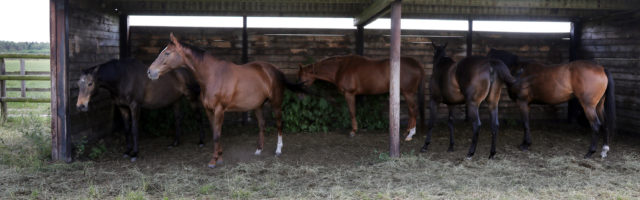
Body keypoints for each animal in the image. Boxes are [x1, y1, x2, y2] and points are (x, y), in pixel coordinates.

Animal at [75, 57, 206, 161]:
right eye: (79, 84)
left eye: (90, 83)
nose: (81, 106)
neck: (122, 78)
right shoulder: (122, 107)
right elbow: (126, 128)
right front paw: (127, 151)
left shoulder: (134, 106)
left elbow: (134, 129)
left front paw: (135, 153)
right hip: (176, 100)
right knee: (178, 118)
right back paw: (175, 143)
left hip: (191, 97)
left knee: (198, 116)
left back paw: (201, 142)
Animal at [147, 33, 304, 168]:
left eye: (167, 53)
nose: (150, 72)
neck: (212, 75)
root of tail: (275, 70)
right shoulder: (209, 111)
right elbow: (215, 133)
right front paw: (220, 157)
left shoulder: (219, 110)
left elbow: (217, 135)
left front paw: (213, 161)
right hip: (258, 106)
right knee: (262, 125)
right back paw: (259, 150)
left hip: (276, 104)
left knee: (279, 124)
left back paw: (278, 150)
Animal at [298, 54, 428, 139]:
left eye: (301, 78)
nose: (300, 94)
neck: (340, 68)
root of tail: (416, 64)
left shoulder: (349, 94)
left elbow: (352, 112)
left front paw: (353, 131)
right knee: (411, 110)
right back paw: (407, 132)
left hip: (408, 93)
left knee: (413, 109)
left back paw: (410, 134)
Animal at [488, 48, 616, 158]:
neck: (519, 71)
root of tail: (601, 69)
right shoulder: (527, 105)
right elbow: (527, 123)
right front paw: (526, 143)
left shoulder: (522, 103)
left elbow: (525, 123)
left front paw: (525, 145)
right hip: (599, 106)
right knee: (605, 123)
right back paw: (604, 151)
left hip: (588, 106)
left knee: (596, 125)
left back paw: (590, 152)